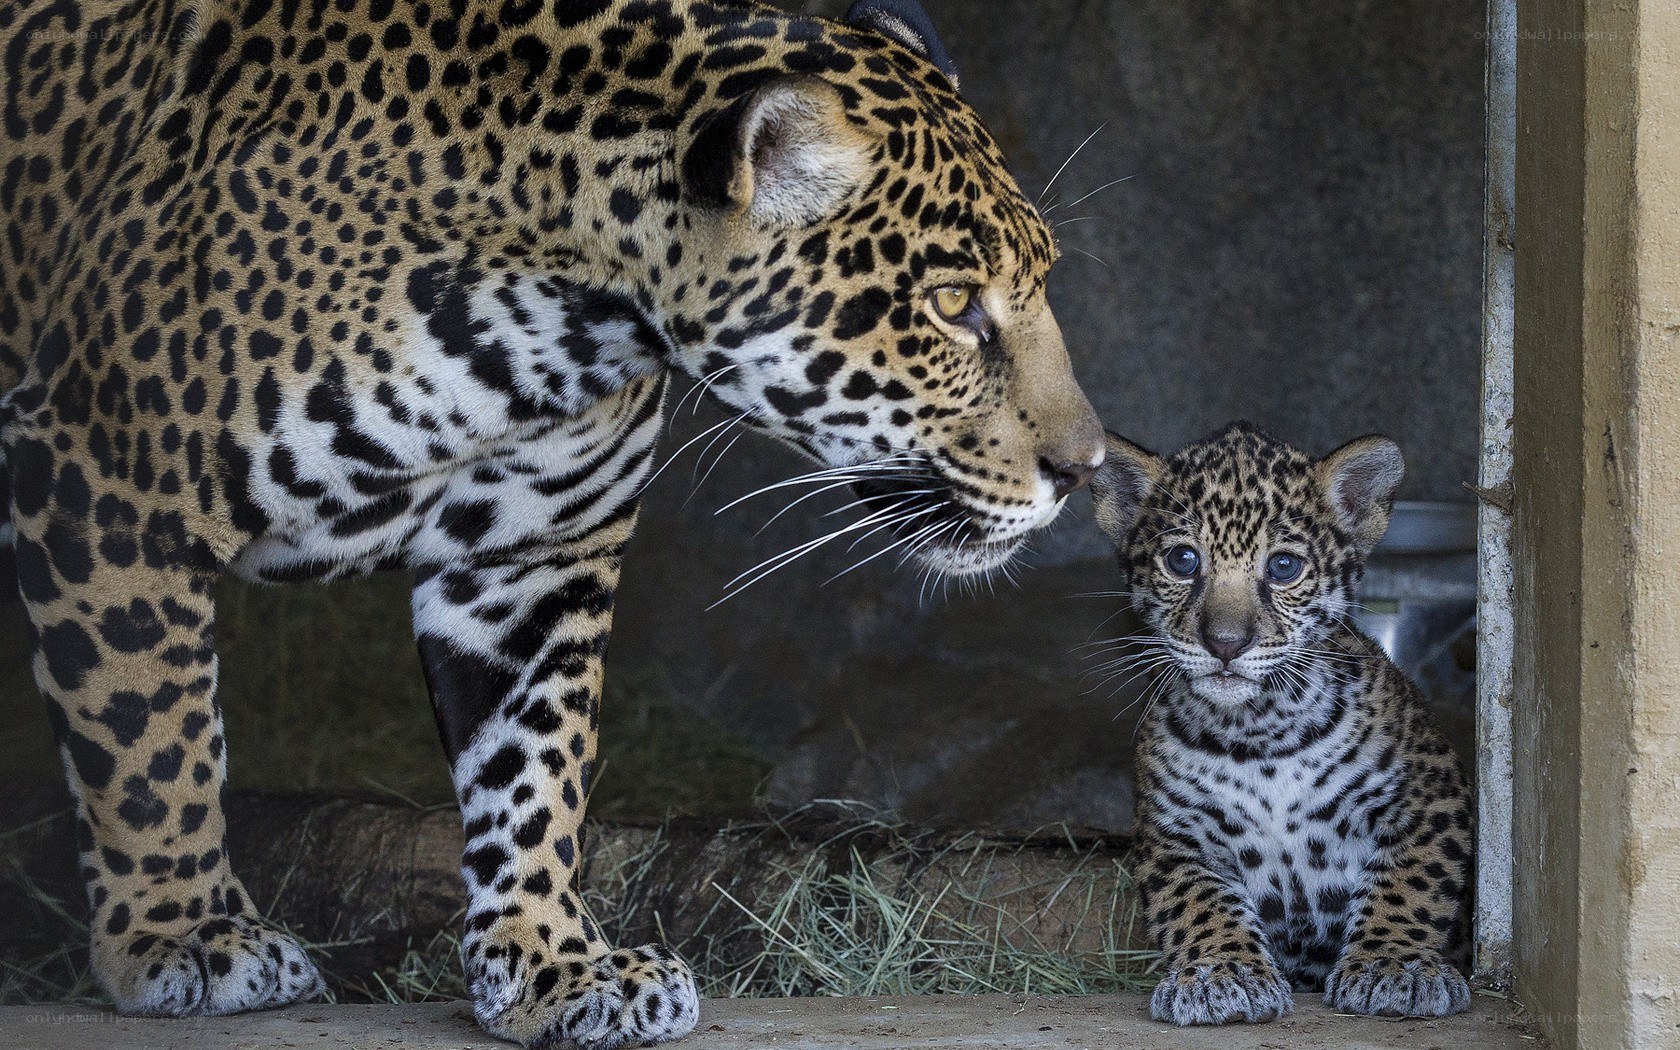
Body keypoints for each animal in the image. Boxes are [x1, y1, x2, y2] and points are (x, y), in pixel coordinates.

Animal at [0, 0, 1106, 1044]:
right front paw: (186, 935)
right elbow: (151, 740)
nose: (1084, 468)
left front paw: (553, 964)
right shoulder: (103, 480)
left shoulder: (530, 555)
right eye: (953, 304)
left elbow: (534, 764)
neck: (552, 315)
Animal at [1088, 422, 1472, 1026]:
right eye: (1182, 560)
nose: (1225, 643)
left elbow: (1410, 884)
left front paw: (1395, 966)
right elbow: (1201, 902)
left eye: (1283, 567)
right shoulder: (1174, 835)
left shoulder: (1430, 799)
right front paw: (1221, 974)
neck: (1260, 732)